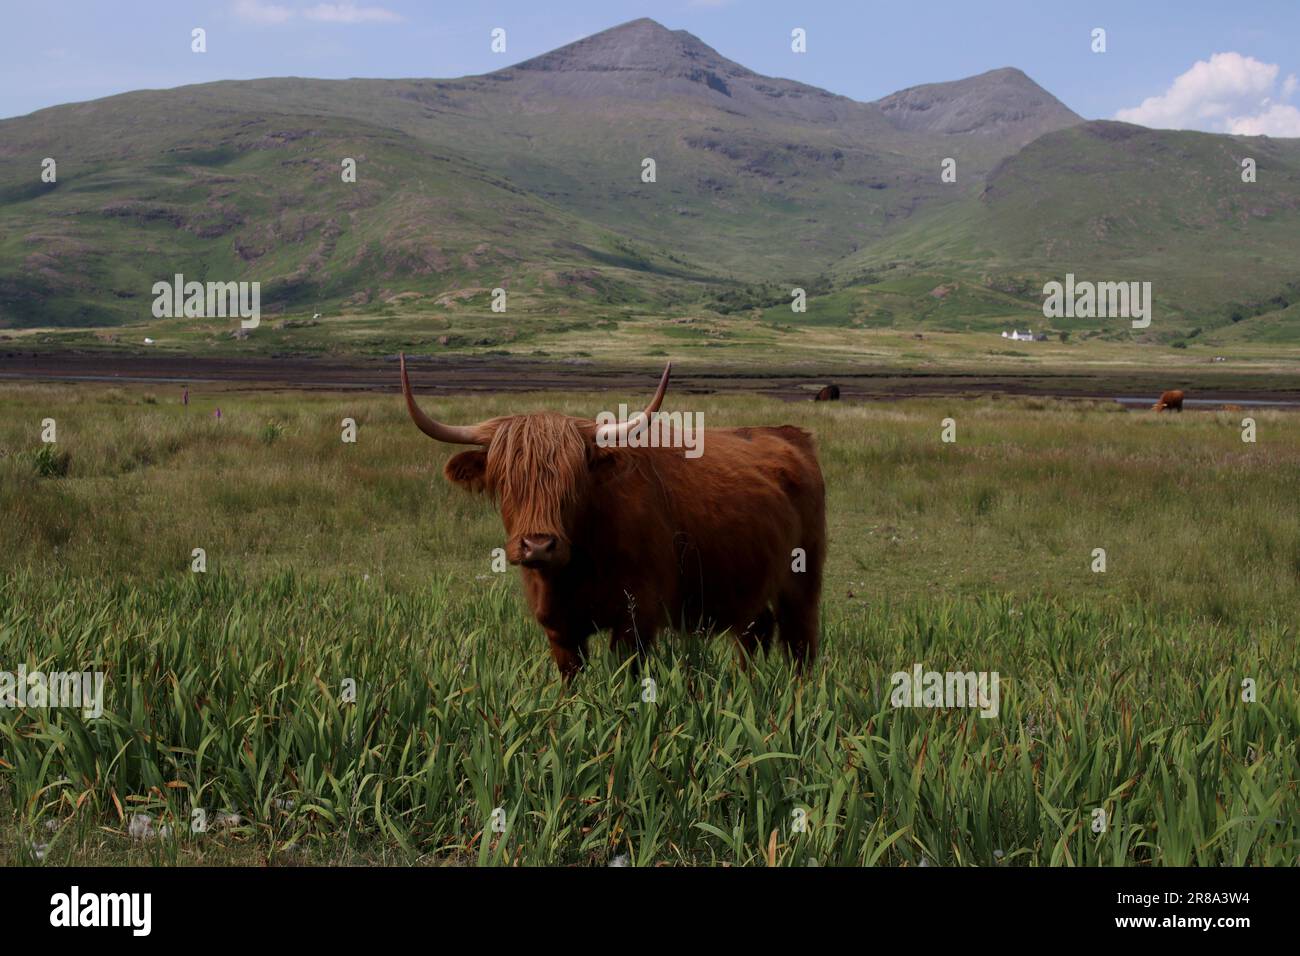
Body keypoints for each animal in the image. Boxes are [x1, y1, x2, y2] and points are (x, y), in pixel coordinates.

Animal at [400, 354, 826, 680]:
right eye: (506, 481)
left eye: (575, 479)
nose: (538, 545)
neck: (577, 566)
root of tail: (790, 435)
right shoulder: (559, 627)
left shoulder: (636, 620)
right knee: (753, 636)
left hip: (801, 583)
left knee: (801, 646)